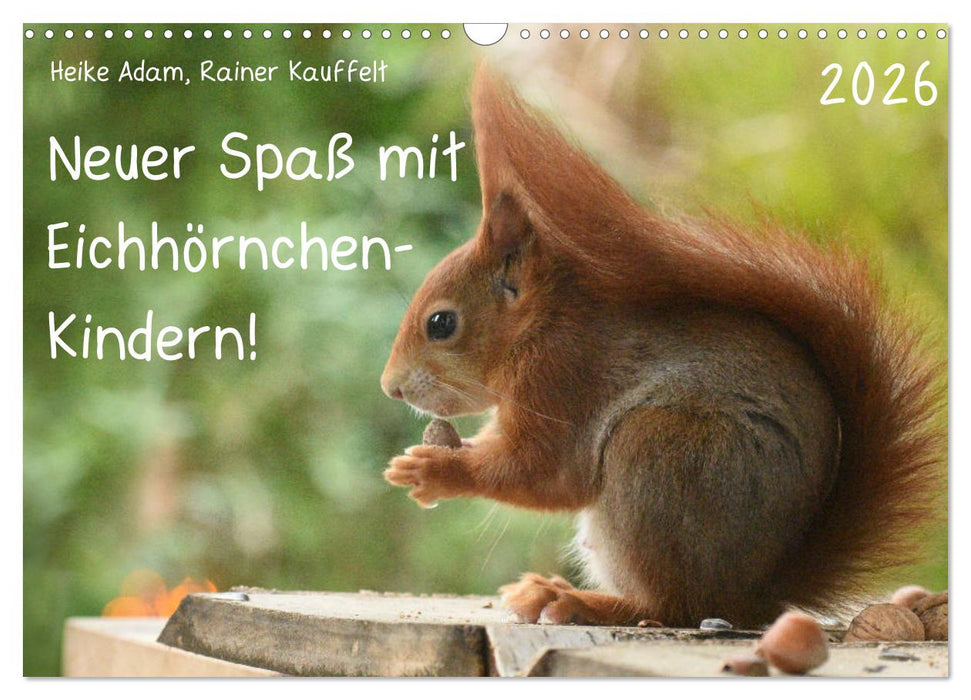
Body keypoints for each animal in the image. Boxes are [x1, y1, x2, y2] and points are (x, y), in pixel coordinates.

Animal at [380, 67, 944, 628]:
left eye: (441, 323)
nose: (391, 389)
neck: (539, 328)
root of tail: (754, 593)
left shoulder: (561, 380)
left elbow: (540, 472)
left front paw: (432, 470)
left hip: (658, 457)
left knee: (674, 606)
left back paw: (580, 601)